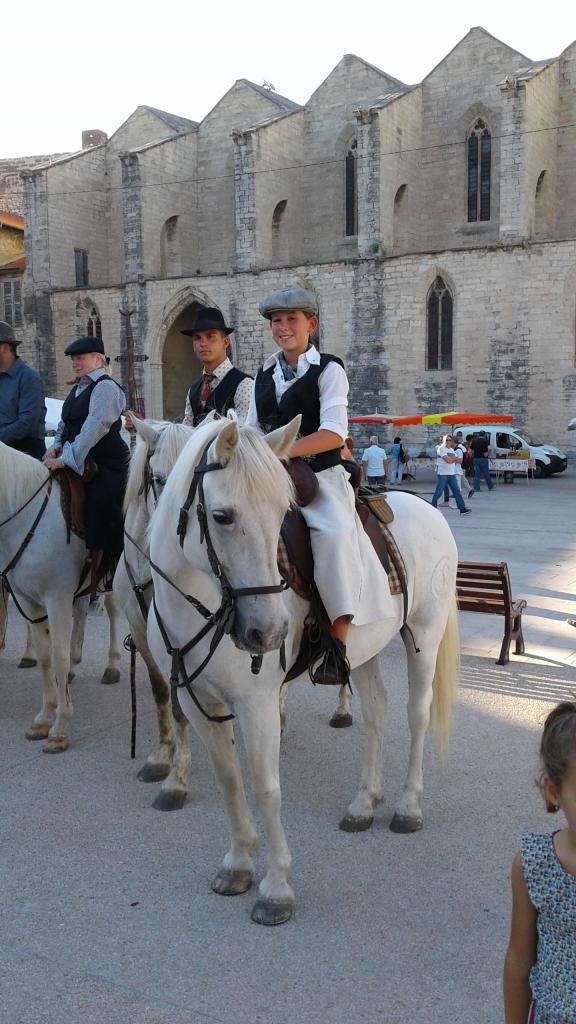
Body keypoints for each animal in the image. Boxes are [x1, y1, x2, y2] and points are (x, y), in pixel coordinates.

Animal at [0, 442, 120, 753]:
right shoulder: (28, 601)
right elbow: (45, 655)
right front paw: (44, 717)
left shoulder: (57, 599)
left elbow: (59, 655)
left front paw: (61, 727)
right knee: (84, 611)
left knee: (115, 612)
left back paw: (113, 665)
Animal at [146, 415, 457, 929]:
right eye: (222, 516)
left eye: (281, 513)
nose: (268, 632)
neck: (198, 600)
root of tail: (425, 510)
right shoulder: (197, 701)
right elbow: (230, 780)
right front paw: (237, 864)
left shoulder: (256, 705)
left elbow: (266, 789)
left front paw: (276, 889)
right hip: (365, 648)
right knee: (376, 713)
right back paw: (363, 803)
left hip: (424, 634)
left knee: (417, 714)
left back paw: (408, 806)